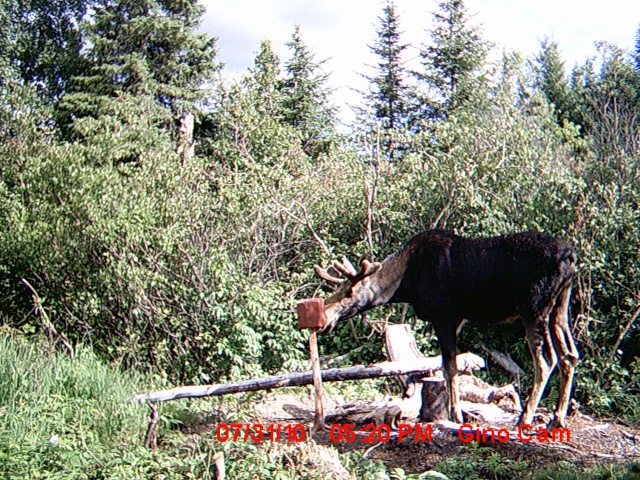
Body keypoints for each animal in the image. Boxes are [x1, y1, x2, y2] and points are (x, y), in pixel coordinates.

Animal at [316, 229, 580, 428]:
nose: (324, 319)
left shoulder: (443, 314)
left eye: (350, 293)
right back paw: (557, 419)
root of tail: (571, 256)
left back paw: (525, 418)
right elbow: (448, 366)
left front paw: (456, 414)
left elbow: (450, 366)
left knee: (546, 360)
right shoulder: (458, 317)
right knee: (569, 355)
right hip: (559, 306)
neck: (405, 284)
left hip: (533, 307)